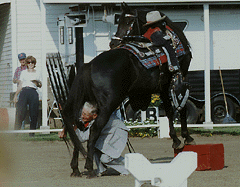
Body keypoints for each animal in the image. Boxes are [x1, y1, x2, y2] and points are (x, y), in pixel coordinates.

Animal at [63, 4, 195, 178]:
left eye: (128, 21)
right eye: (119, 21)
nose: (113, 42)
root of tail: (89, 65)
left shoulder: (162, 88)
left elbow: (168, 109)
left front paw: (176, 140)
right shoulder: (174, 82)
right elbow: (180, 108)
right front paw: (186, 137)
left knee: (77, 129)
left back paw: (75, 168)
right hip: (107, 105)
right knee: (94, 130)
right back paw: (90, 167)